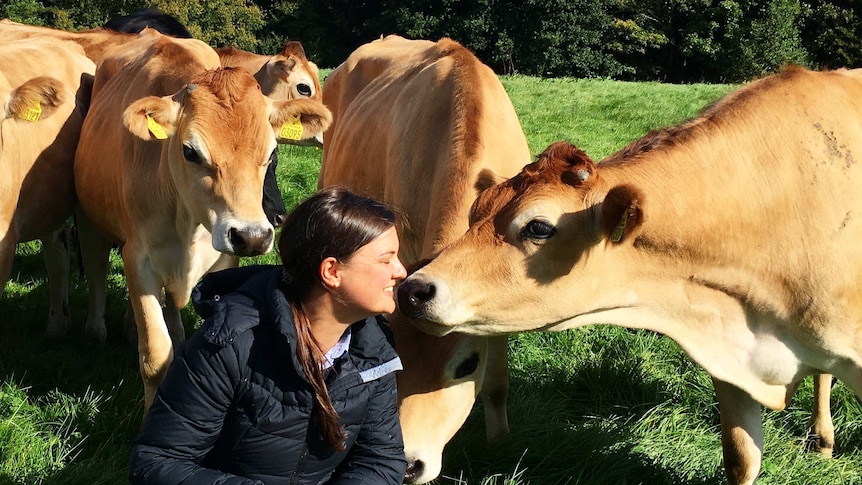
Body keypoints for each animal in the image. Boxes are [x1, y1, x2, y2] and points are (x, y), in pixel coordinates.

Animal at [73, 29, 334, 408]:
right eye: (190, 151)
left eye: (271, 152)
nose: (253, 236)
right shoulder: (138, 259)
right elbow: (155, 356)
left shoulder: (223, 261)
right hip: (87, 214)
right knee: (95, 268)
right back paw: (95, 329)